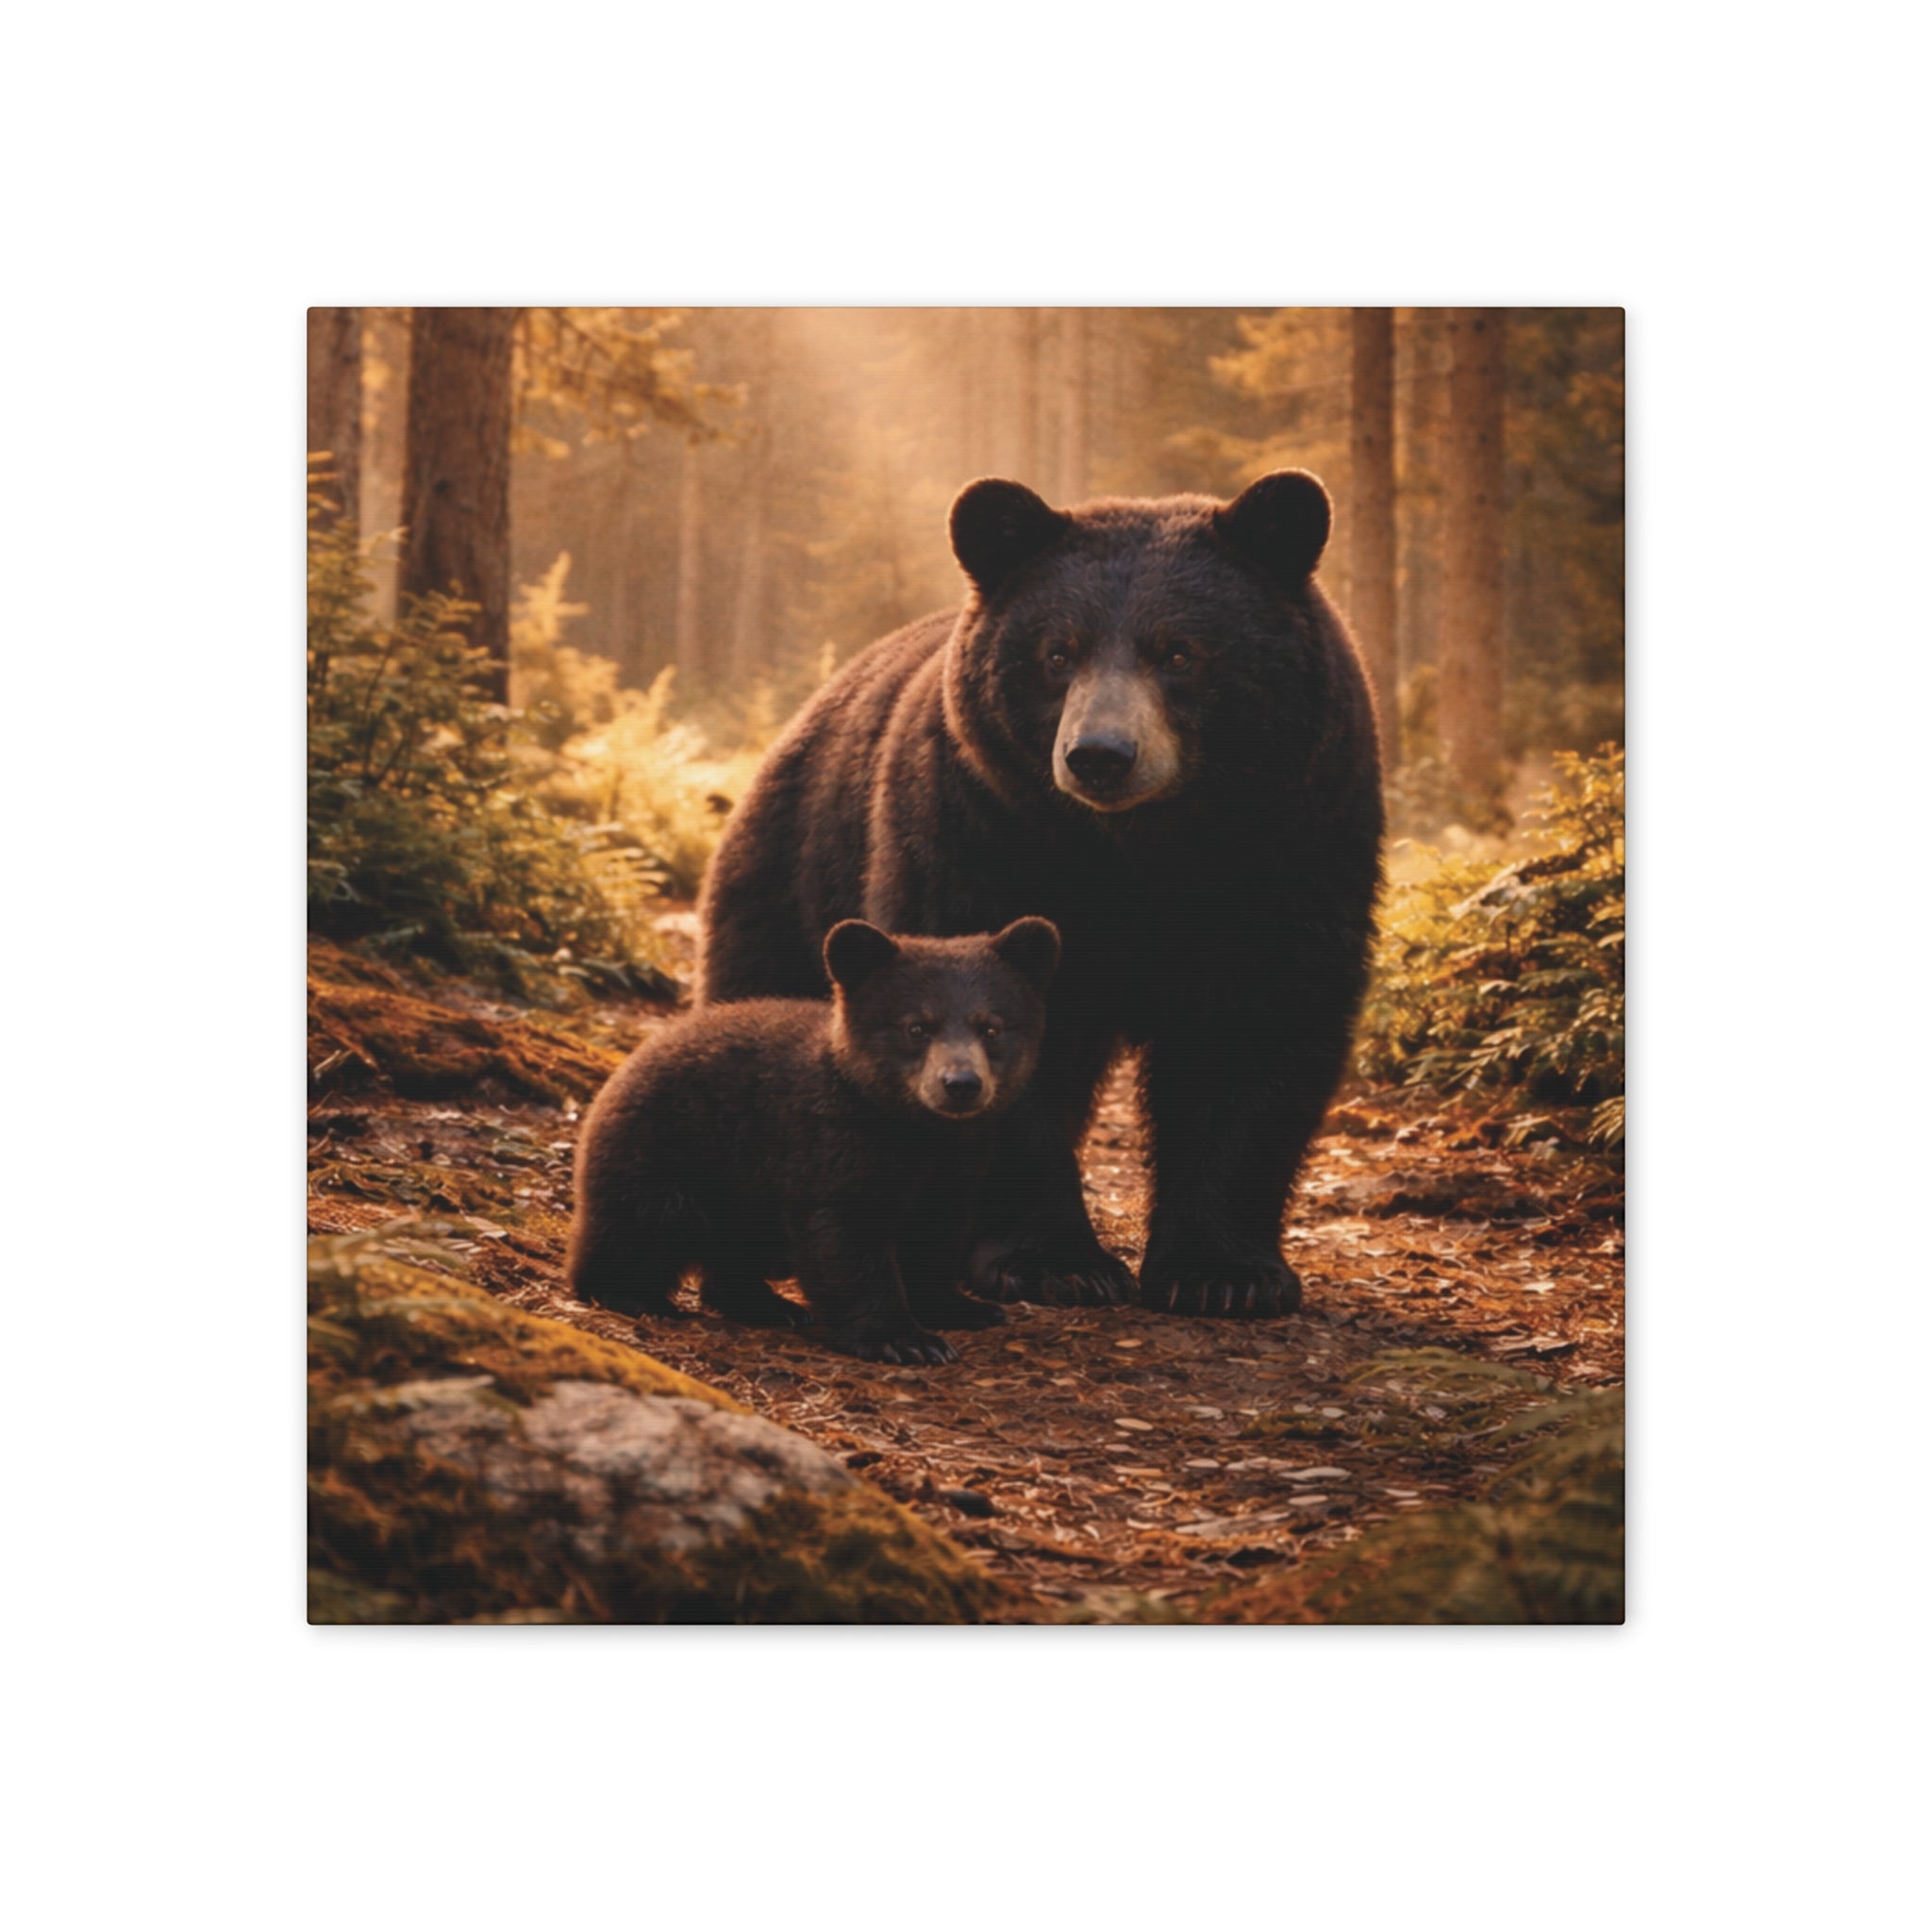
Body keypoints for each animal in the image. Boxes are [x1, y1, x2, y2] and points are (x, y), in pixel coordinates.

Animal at [566, 916, 1061, 1364]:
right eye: (917, 1027)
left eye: (991, 1028)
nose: (961, 1084)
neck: (913, 1131)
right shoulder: (830, 1146)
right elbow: (844, 1239)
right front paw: (904, 1339)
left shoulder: (958, 1163)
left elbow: (937, 1232)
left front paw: (962, 1307)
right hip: (670, 1152)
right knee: (641, 1227)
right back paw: (633, 1295)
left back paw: (769, 1304)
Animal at [697, 469, 1383, 1320]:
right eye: (1059, 652)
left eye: (1179, 651)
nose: (1100, 755)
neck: (1143, 853)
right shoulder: (982, 834)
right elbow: (994, 1021)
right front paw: (1054, 1262)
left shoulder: (1294, 848)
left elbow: (1256, 1028)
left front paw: (1223, 1272)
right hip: (796, 871)